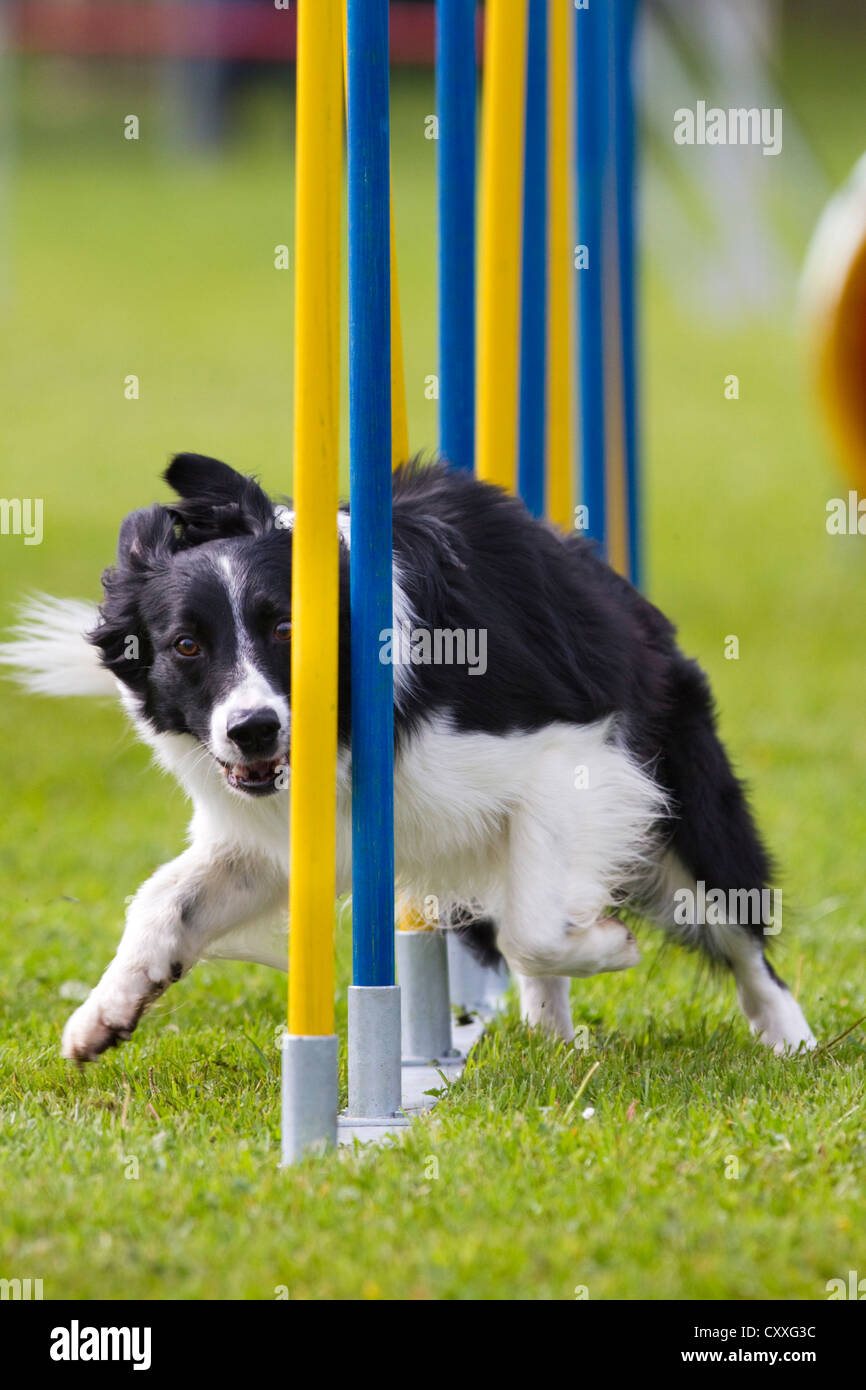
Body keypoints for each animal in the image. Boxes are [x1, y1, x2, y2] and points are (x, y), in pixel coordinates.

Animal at [0, 450, 817, 1056]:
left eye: (287, 630)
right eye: (186, 646)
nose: (253, 729)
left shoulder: (568, 756)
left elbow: (533, 927)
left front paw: (610, 948)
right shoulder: (286, 834)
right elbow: (164, 898)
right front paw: (103, 1014)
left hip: (685, 804)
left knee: (738, 929)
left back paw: (791, 1039)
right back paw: (551, 1039)